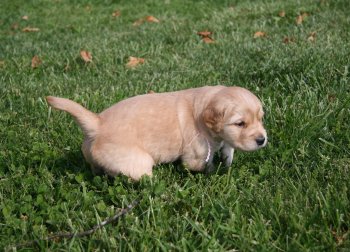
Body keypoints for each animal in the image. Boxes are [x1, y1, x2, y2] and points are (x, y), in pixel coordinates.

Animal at [45, 85, 266, 180]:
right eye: (240, 123)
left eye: (260, 118)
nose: (262, 140)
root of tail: (97, 123)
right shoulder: (197, 154)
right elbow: (203, 165)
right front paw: (214, 171)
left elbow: (228, 147)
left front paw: (227, 160)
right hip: (138, 162)